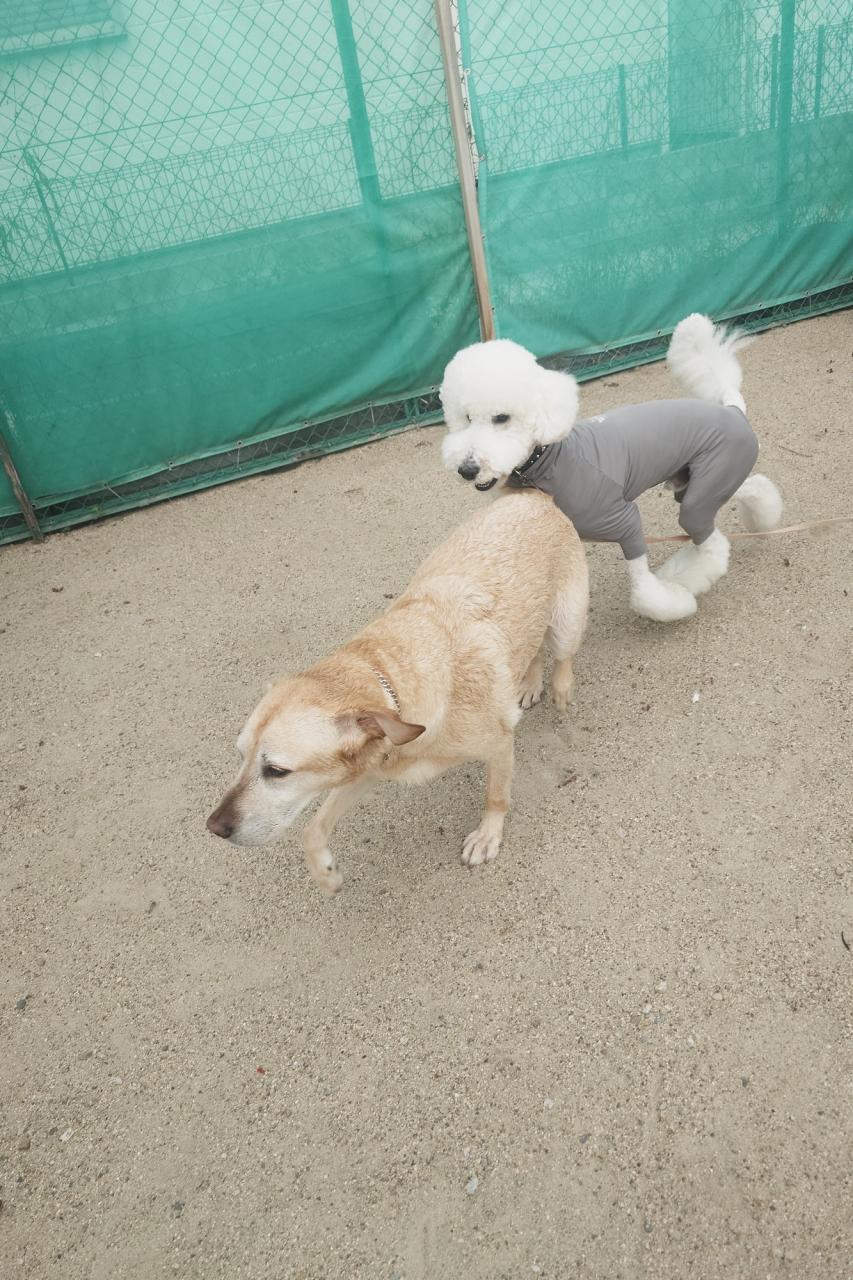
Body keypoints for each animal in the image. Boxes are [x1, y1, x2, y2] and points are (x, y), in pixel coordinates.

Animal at [206, 491, 588, 894]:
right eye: (241, 755)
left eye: (277, 771)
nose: (213, 827)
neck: (395, 684)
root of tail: (534, 495)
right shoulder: (367, 768)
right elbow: (313, 830)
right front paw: (326, 874)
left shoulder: (499, 745)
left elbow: (496, 797)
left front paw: (487, 837)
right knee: (533, 649)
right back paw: (529, 684)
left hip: (566, 621)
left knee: (562, 652)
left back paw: (560, 686)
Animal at [440, 314, 783, 622]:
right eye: (466, 418)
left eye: (502, 418)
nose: (467, 469)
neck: (549, 459)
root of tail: (732, 409)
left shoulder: (625, 521)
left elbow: (644, 591)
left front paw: (673, 602)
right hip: (697, 483)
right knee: (753, 486)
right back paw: (764, 518)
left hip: (702, 494)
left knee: (713, 544)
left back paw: (685, 579)